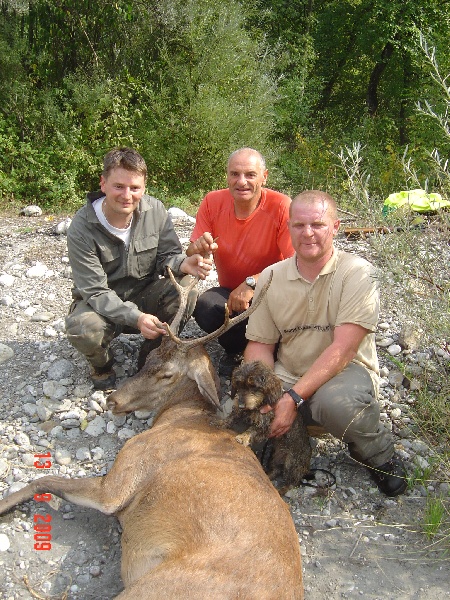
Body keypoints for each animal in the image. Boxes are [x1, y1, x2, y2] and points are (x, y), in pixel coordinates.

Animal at [230, 358, 312, 490]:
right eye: (239, 384)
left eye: (253, 386)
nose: (242, 405)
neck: (260, 403)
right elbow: (232, 416)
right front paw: (219, 422)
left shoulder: (265, 426)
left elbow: (252, 430)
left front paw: (243, 437)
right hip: (275, 457)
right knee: (276, 470)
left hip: (291, 463)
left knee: (291, 483)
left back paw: (280, 489)